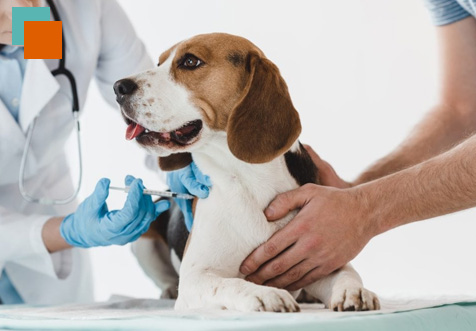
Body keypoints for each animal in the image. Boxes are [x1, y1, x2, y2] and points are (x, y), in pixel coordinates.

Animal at [113, 32, 378, 312]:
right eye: (159, 62)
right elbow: (231, 284)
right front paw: (265, 294)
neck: (247, 180)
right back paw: (167, 290)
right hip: (143, 238)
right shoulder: (196, 278)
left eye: (190, 61)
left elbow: (347, 273)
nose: (119, 87)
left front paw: (354, 291)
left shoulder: (319, 256)